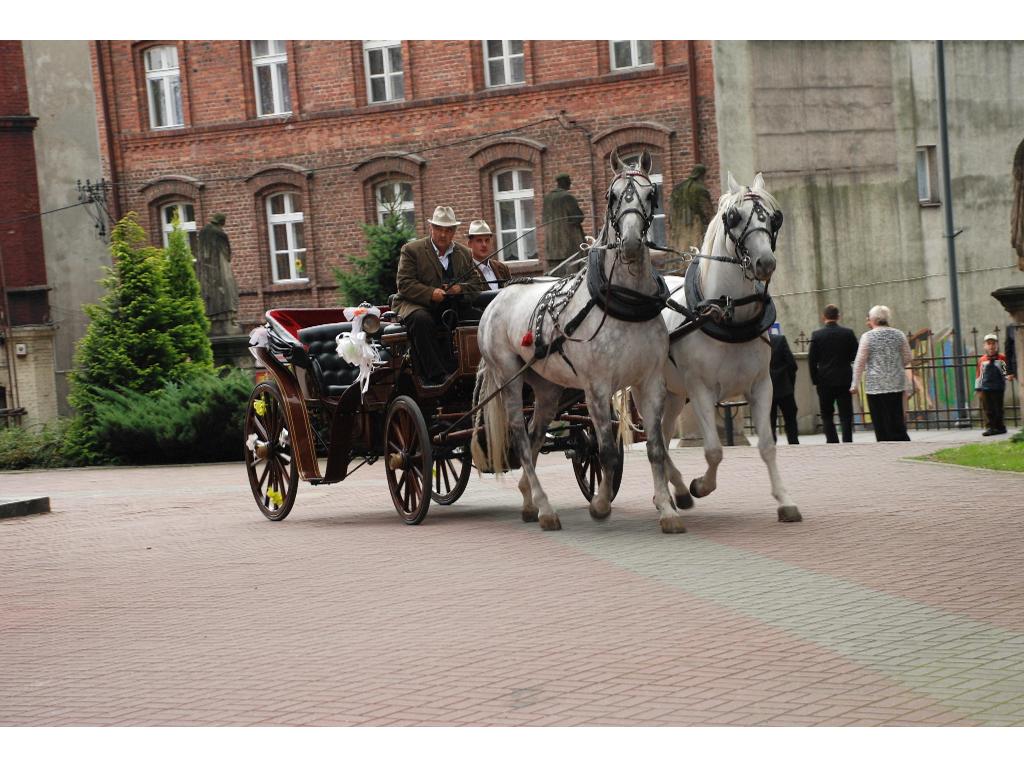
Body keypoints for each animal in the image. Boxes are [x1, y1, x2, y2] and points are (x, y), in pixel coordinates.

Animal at [473, 150, 688, 536]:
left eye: (652, 194)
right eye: (611, 196)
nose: (630, 243)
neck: (622, 301)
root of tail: (496, 299)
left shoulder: (650, 382)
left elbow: (656, 448)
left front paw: (667, 509)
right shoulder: (597, 388)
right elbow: (608, 453)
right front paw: (600, 505)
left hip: (546, 388)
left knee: (534, 434)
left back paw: (529, 500)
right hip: (509, 377)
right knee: (520, 439)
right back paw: (545, 509)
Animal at [655, 173, 798, 524]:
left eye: (773, 218)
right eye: (733, 217)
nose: (765, 262)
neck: (726, 314)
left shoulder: (762, 386)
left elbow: (767, 446)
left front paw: (785, 500)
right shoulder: (701, 390)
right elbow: (714, 450)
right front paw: (701, 485)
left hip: (674, 395)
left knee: (662, 438)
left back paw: (675, 489)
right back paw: (678, 489)